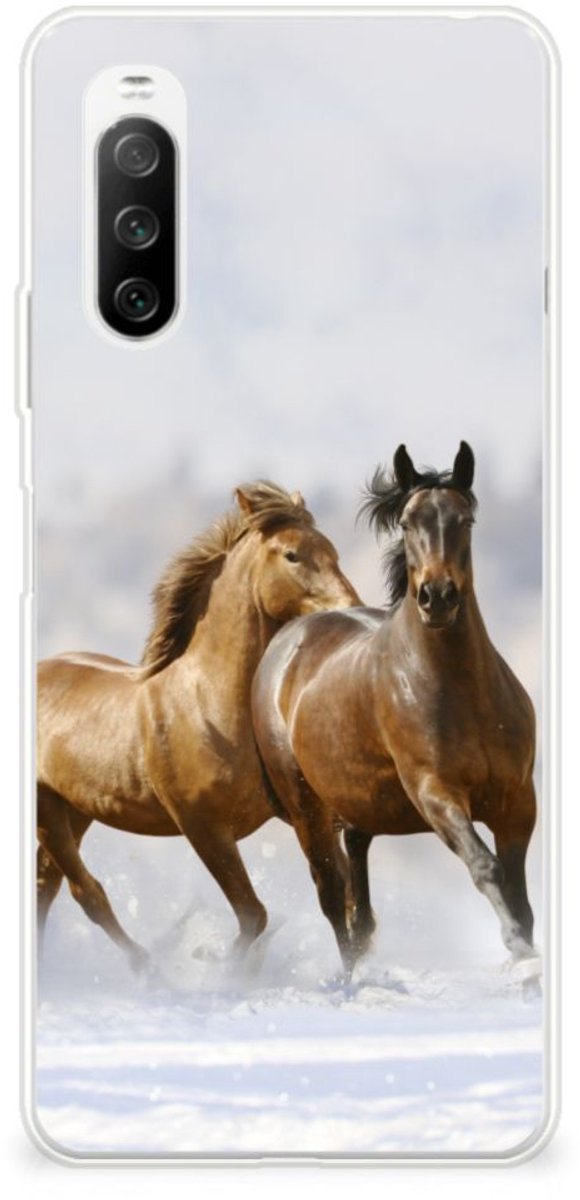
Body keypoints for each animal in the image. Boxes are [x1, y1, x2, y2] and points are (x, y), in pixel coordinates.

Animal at [37, 482, 360, 971]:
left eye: (333, 550)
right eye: (292, 555)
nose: (351, 609)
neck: (209, 705)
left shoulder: (304, 813)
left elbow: (336, 892)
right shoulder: (202, 826)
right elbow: (254, 915)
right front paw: (217, 965)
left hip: (75, 809)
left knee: (48, 886)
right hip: (47, 809)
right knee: (84, 891)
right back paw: (149, 967)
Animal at [252, 443, 537, 973]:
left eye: (465, 520)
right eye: (406, 522)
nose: (437, 597)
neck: (462, 693)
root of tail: (286, 640)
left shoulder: (518, 801)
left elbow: (519, 892)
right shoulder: (436, 793)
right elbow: (485, 867)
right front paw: (518, 949)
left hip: (357, 805)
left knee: (358, 897)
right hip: (307, 809)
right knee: (332, 895)